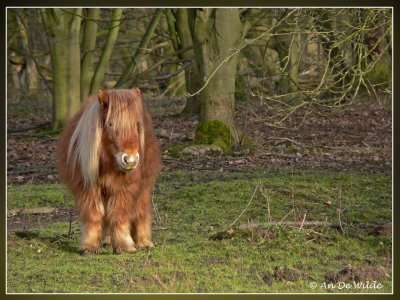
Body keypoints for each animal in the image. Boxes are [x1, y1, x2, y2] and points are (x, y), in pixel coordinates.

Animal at [57, 88, 161, 254]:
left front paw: (124, 245)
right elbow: (94, 215)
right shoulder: (87, 187)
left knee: (140, 210)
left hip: (143, 187)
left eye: (137, 124)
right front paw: (89, 246)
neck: (107, 162)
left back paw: (143, 242)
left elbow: (119, 215)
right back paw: (107, 241)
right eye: (110, 124)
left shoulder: (124, 188)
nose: (130, 160)